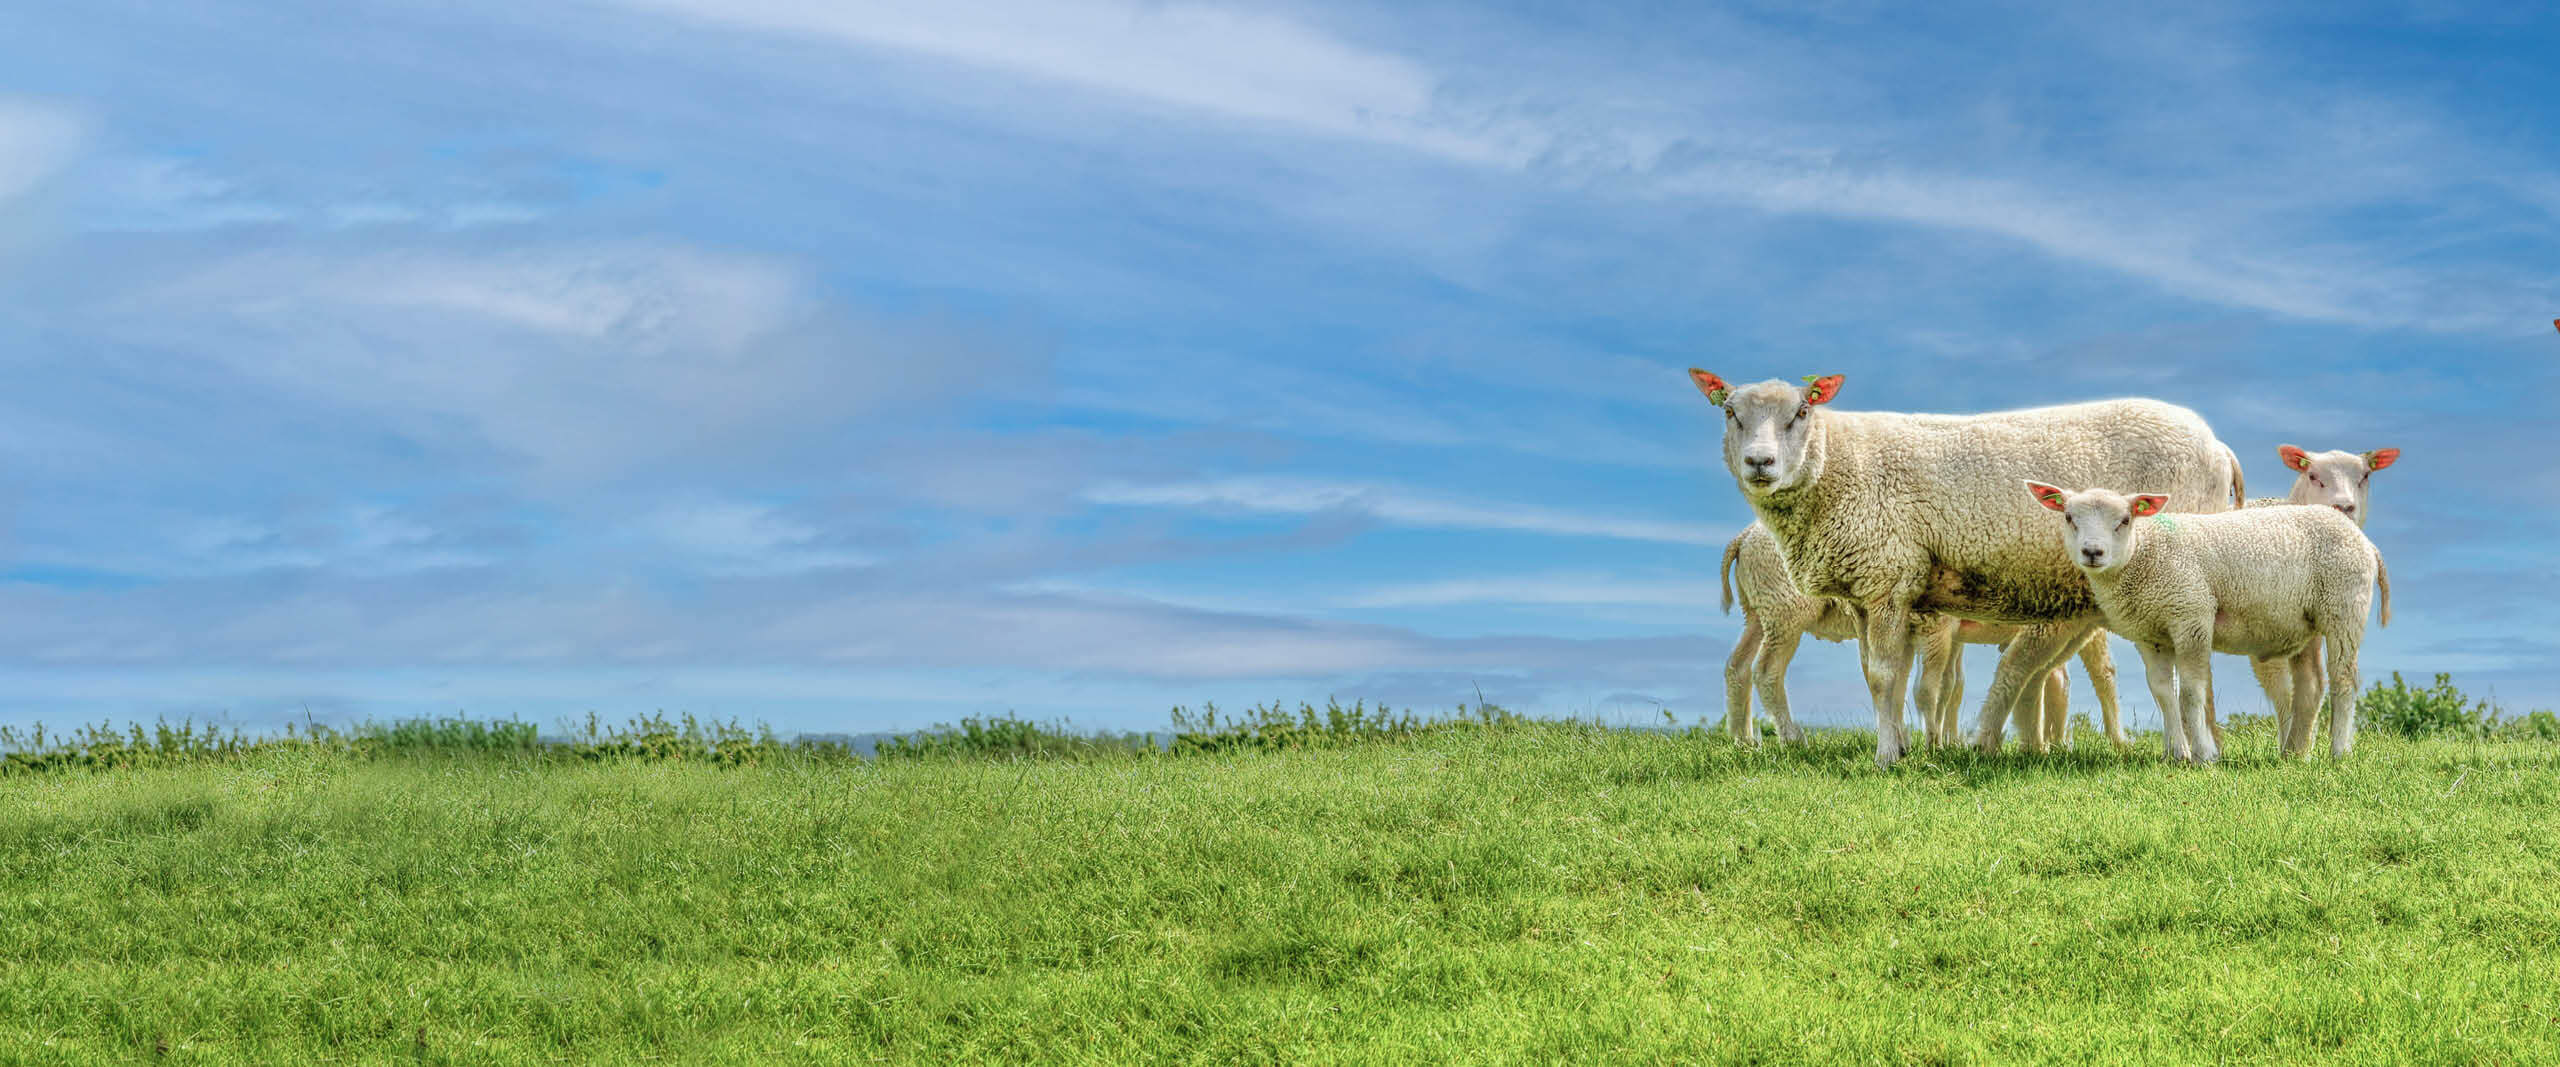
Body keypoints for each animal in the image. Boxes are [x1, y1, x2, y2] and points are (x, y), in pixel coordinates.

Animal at [1689, 371, 2252, 762]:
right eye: (1730, 413)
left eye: (1802, 411)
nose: (1759, 463)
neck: (1839, 464)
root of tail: (2219, 448)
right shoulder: (1873, 591)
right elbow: (1884, 677)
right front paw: (1903, 746)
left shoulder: (1889, 577)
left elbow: (1890, 676)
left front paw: (1889, 755)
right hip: (1774, 612)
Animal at [2027, 478, 2385, 762]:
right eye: (2069, 517)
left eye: (2125, 520)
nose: (2093, 552)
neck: (2146, 553)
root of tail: (2364, 541)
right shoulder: (2150, 634)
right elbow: (2162, 692)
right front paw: (2175, 753)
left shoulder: (2192, 614)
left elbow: (2191, 692)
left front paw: (2203, 755)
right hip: (2305, 622)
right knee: (2311, 685)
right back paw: (2294, 753)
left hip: (2344, 607)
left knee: (2344, 679)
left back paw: (2339, 752)